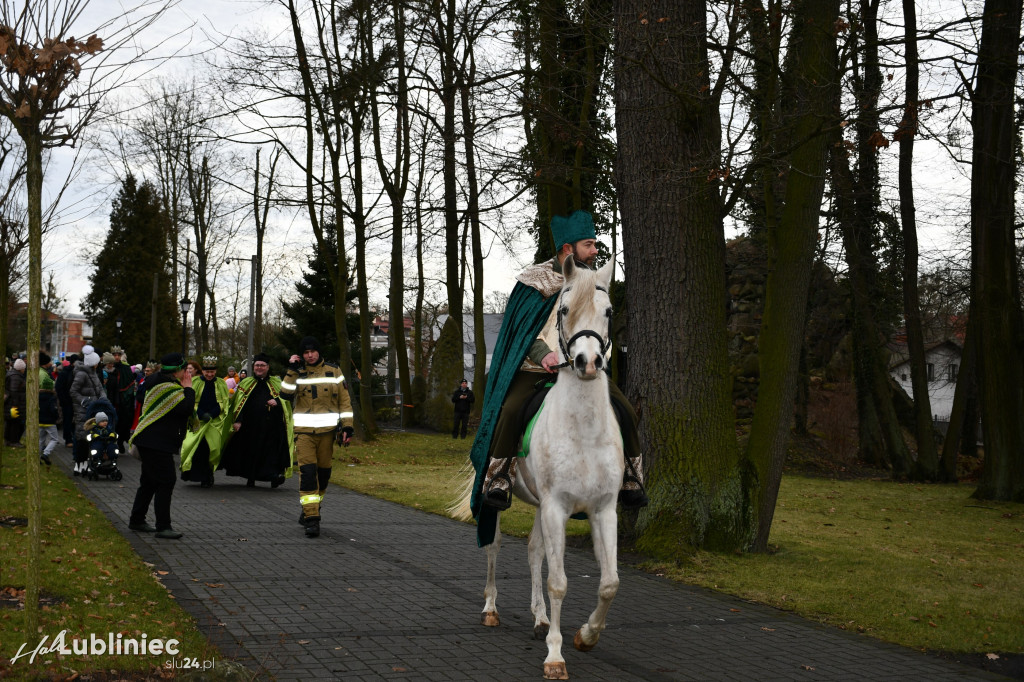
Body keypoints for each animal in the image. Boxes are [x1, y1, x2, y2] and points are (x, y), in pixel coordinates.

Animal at [454, 256, 622, 679]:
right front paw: (555, 658)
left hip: (540, 507)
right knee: (495, 545)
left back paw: (541, 619)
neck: (583, 432)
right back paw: (491, 609)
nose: (588, 363)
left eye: (609, 311)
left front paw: (586, 636)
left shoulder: (603, 510)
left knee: (534, 551)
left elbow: (609, 582)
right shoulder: (556, 508)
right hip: (500, 500)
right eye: (563, 310)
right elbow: (558, 582)